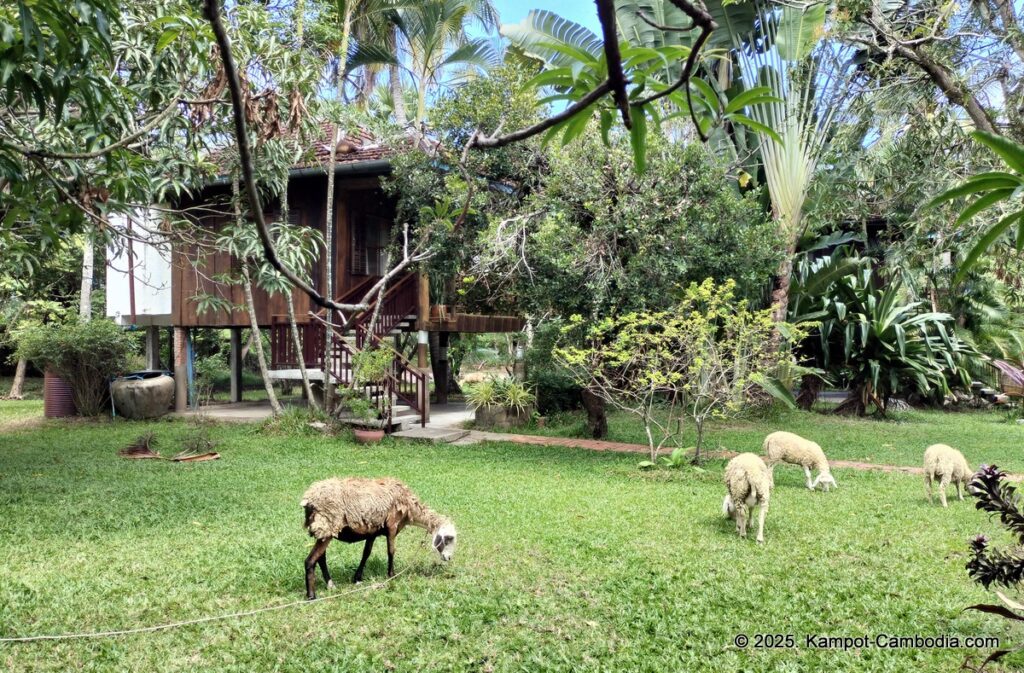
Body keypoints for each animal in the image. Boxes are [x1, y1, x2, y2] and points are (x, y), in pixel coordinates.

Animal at [296, 477, 456, 598]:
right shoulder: (392, 525)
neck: (409, 506)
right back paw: (312, 595)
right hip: (326, 526)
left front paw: (357, 578)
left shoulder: (372, 532)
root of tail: (309, 499)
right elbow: (391, 551)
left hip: (324, 530)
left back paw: (330, 585)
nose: (448, 558)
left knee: (320, 558)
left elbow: (366, 553)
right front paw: (392, 575)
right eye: (449, 538)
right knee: (310, 560)